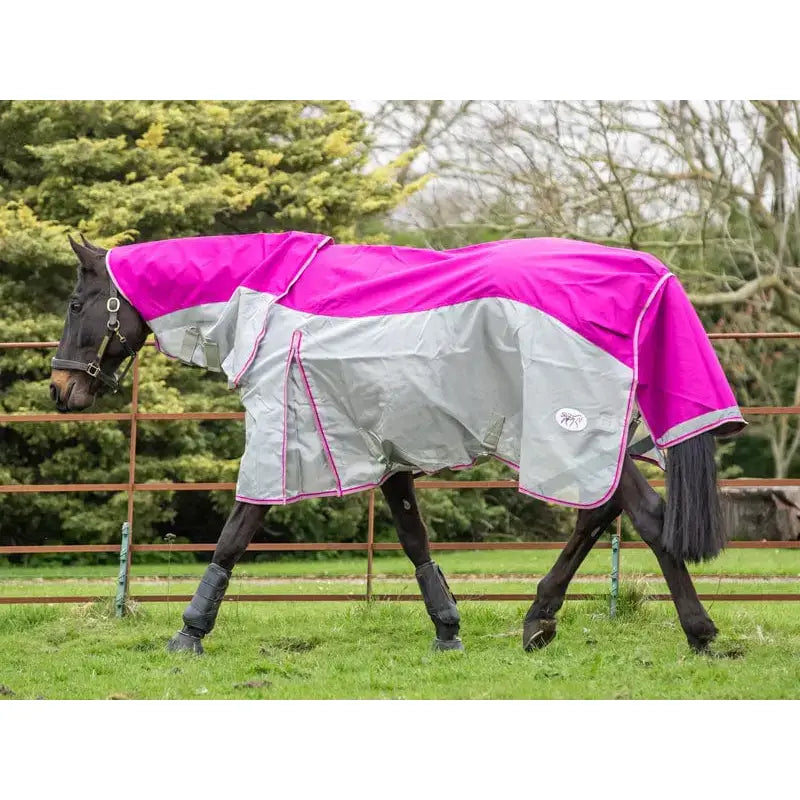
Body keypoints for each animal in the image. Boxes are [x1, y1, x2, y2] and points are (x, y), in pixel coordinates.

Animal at [50, 233, 745, 655]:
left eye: (78, 303)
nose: (61, 389)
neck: (270, 300)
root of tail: (648, 276)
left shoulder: (278, 440)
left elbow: (234, 535)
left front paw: (189, 633)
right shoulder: (385, 452)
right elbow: (415, 542)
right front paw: (448, 630)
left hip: (567, 432)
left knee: (646, 519)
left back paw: (700, 634)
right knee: (600, 514)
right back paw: (537, 621)